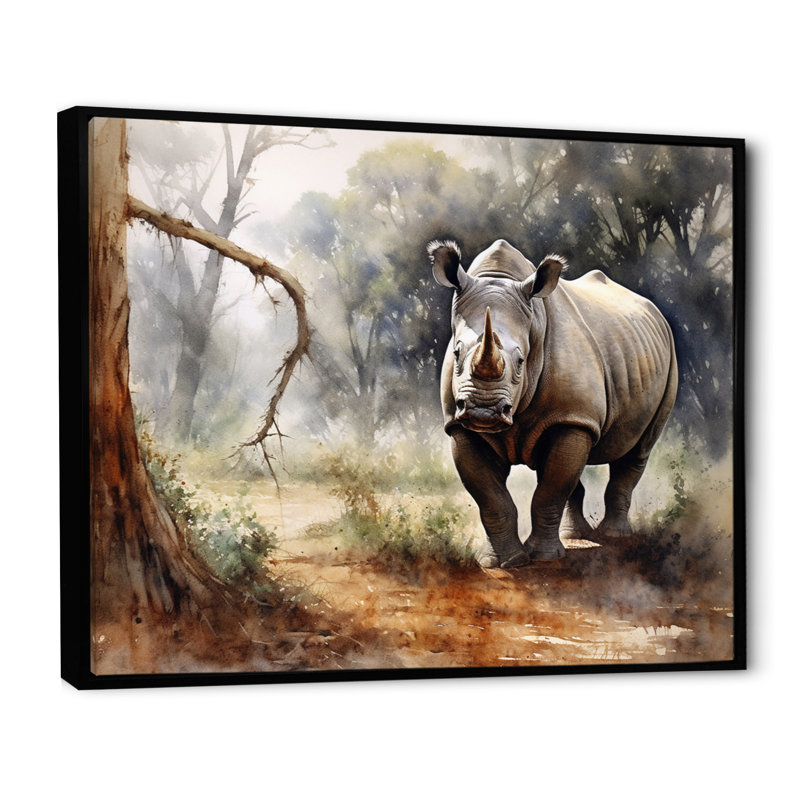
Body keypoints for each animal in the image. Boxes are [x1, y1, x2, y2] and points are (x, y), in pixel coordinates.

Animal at [429, 238, 678, 569]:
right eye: (456, 354)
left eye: (521, 361)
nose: (483, 410)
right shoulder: (460, 425)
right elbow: (492, 498)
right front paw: (502, 563)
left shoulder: (571, 416)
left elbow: (549, 491)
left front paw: (544, 558)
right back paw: (576, 536)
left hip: (668, 360)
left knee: (637, 450)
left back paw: (614, 536)